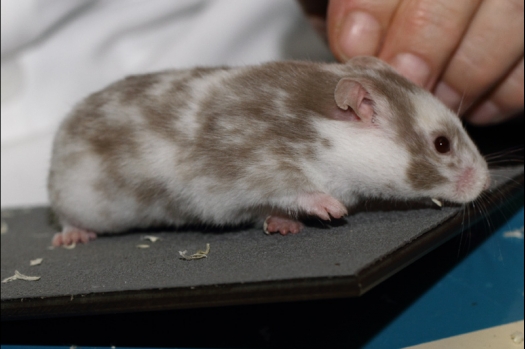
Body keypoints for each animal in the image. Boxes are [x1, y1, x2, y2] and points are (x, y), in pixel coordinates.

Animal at [47, 56, 490, 245]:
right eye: (442, 144)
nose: (485, 182)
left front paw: (283, 223)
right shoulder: (245, 166)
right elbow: (289, 186)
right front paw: (329, 207)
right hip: (71, 194)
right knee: (66, 217)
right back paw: (73, 236)